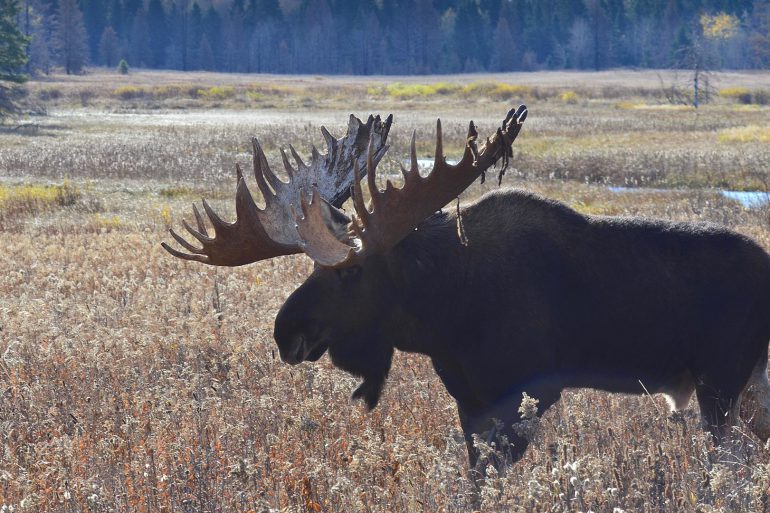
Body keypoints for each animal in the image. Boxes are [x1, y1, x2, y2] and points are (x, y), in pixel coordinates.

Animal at [162, 106, 770, 472]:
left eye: (349, 272)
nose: (285, 333)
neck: (443, 316)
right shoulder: (468, 398)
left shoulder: (525, 391)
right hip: (747, 387)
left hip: (722, 383)